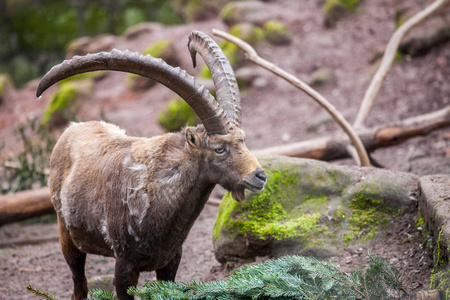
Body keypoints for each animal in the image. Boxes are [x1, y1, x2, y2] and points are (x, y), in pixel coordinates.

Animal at [37, 31, 268, 300]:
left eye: (243, 139)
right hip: (67, 235)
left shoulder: (170, 261)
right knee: (79, 283)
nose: (260, 175)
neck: (159, 191)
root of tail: (71, 129)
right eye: (219, 148)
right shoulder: (124, 263)